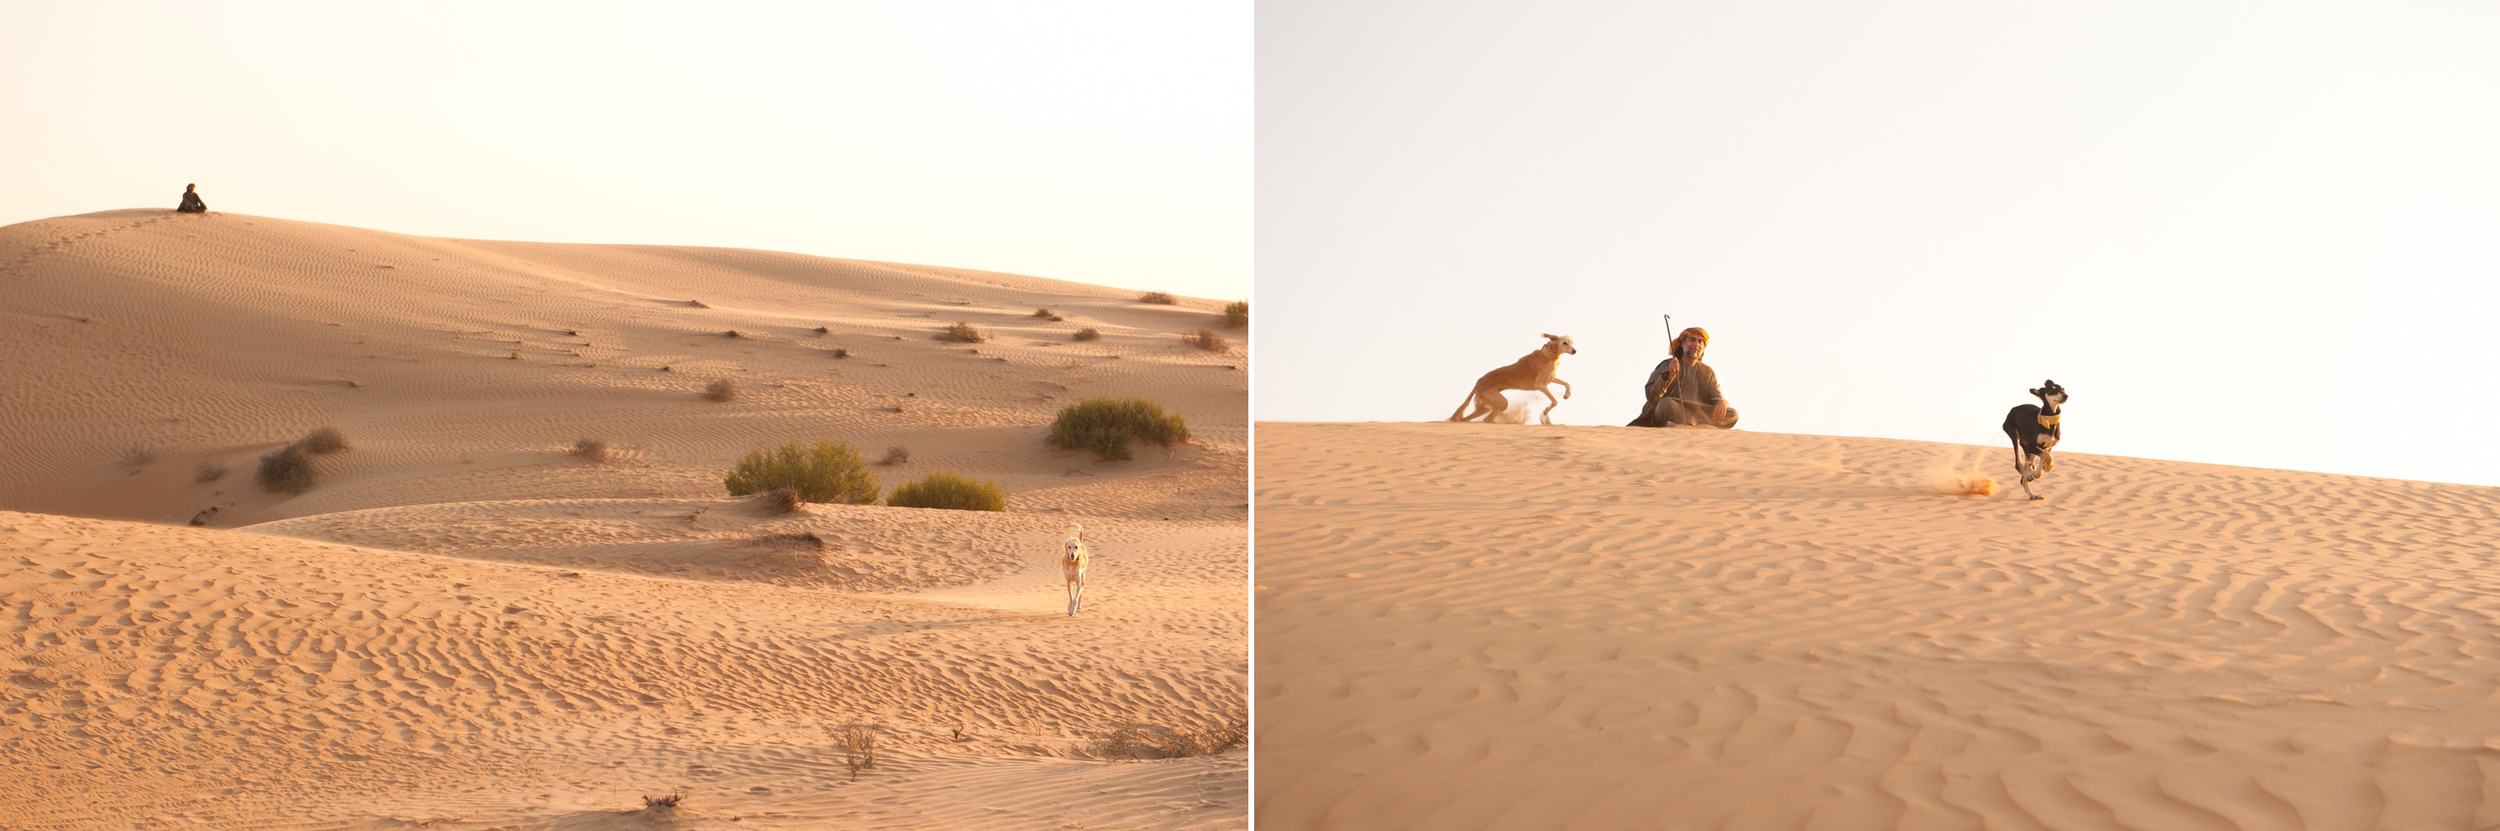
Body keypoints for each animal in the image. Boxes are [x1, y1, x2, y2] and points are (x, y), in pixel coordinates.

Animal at [1450, 332, 1580, 425]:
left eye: (1571, 342)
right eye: (1564, 343)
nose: (1574, 351)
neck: (1548, 355)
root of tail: (1478, 382)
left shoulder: (1550, 379)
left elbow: (1567, 383)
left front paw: (1567, 394)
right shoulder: (1540, 385)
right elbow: (1554, 401)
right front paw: (1546, 412)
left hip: (1485, 406)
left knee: (1465, 420)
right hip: (1501, 402)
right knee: (1485, 420)